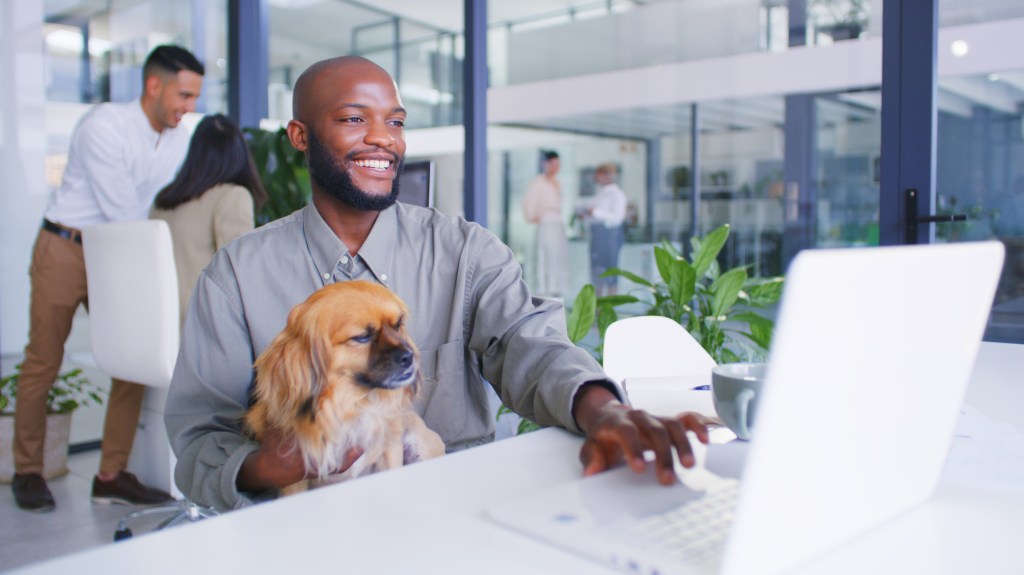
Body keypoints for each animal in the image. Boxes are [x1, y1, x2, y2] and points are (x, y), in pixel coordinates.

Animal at [245, 278, 446, 493]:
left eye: (398, 325)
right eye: (362, 337)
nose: (409, 356)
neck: (351, 404)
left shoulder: (389, 450)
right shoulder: (292, 474)